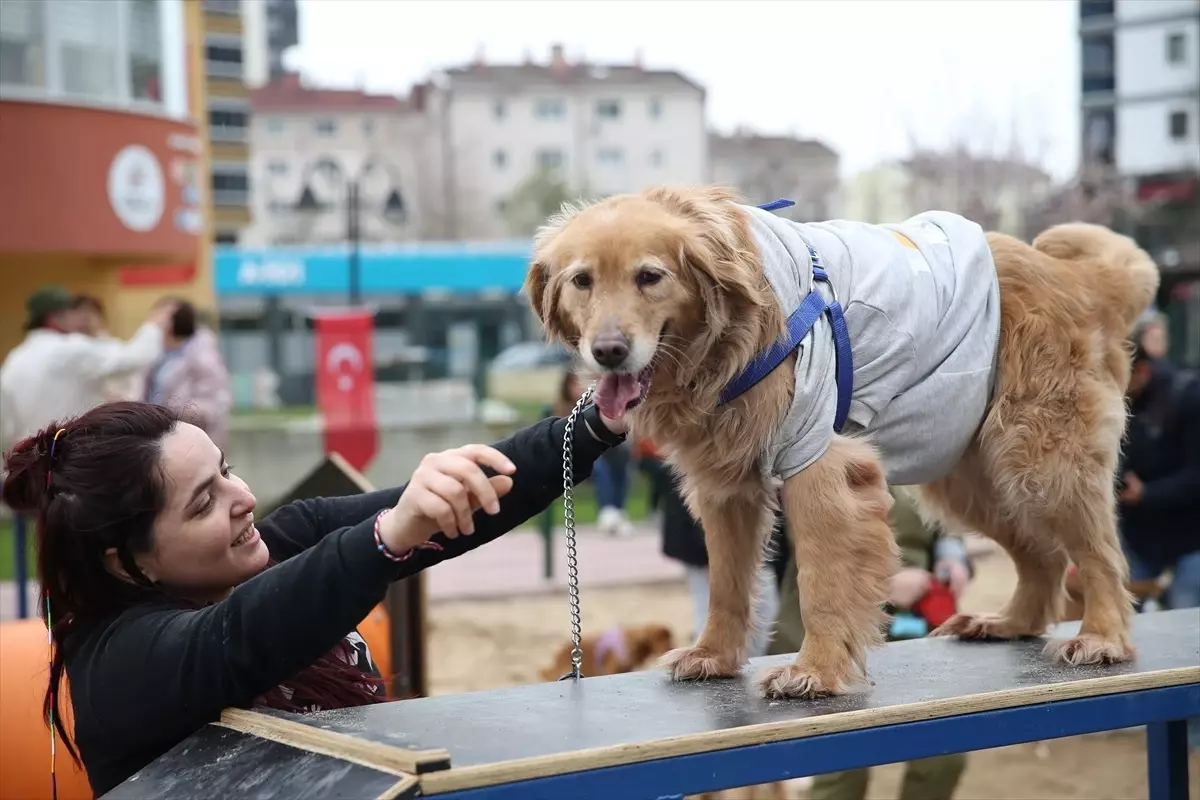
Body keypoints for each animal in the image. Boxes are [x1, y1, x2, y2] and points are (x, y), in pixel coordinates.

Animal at [523, 184, 1152, 695]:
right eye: (582, 281)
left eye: (649, 277)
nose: (608, 351)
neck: (731, 337)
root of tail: (1076, 278)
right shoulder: (727, 487)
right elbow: (727, 583)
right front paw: (715, 655)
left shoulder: (818, 462)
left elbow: (822, 579)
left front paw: (817, 671)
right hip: (970, 476)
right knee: (1043, 556)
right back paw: (1010, 622)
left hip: (1040, 459)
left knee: (1098, 554)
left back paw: (1102, 637)